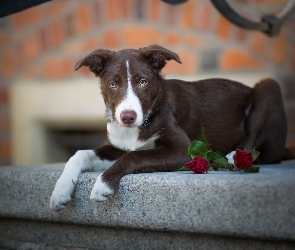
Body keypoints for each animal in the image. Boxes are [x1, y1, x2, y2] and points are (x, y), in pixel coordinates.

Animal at [49, 44, 294, 210]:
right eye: (113, 84)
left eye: (143, 82)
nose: (127, 117)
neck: (141, 123)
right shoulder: (117, 146)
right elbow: (81, 153)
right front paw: (60, 190)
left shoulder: (184, 151)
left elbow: (135, 156)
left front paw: (103, 184)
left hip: (267, 89)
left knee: (253, 138)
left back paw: (234, 156)